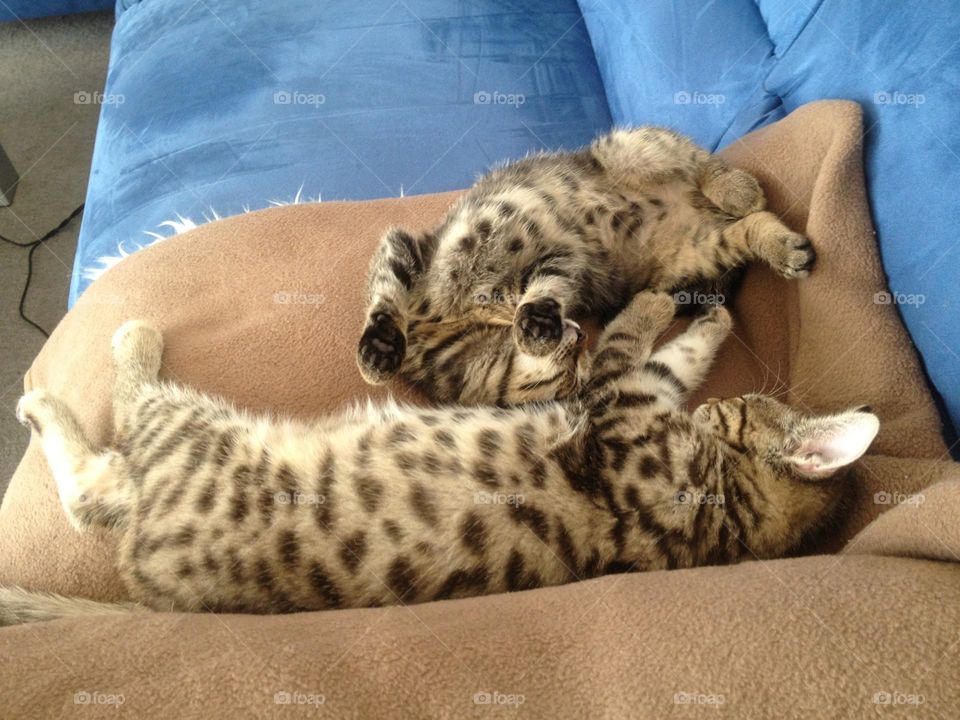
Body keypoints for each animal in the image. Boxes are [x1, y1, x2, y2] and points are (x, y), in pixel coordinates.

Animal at [1, 292, 876, 624]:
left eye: (739, 410)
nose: (723, 406)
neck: (732, 519)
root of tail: (150, 585)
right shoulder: (627, 399)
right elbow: (670, 357)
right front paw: (713, 316)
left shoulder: (619, 404)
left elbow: (634, 340)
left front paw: (664, 301)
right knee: (101, 484)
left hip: (191, 438)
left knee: (99, 469)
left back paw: (93, 363)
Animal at [356, 124, 812, 404]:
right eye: (576, 360)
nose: (576, 332)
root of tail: (696, 210)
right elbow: (389, 295)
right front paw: (382, 349)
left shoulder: (551, 253)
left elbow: (405, 285)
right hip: (696, 251)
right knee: (748, 228)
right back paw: (783, 247)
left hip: (631, 148)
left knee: (701, 163)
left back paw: (737, 189)